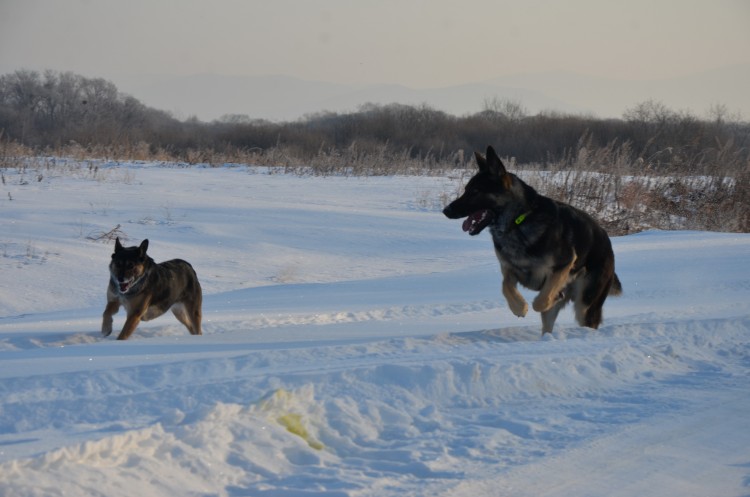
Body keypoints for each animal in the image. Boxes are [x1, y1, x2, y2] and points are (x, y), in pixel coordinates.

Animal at [444, 146, 624, 334]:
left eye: (475, 192)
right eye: (467, 189)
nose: (446, 210)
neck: (518, 221)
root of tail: (607, 240)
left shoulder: (564, 264)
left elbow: (541, 301)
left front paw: (543, 300)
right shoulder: (509, 271)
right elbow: (505, 286)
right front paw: (518, 307)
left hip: (585, 304)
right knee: (548, 324)